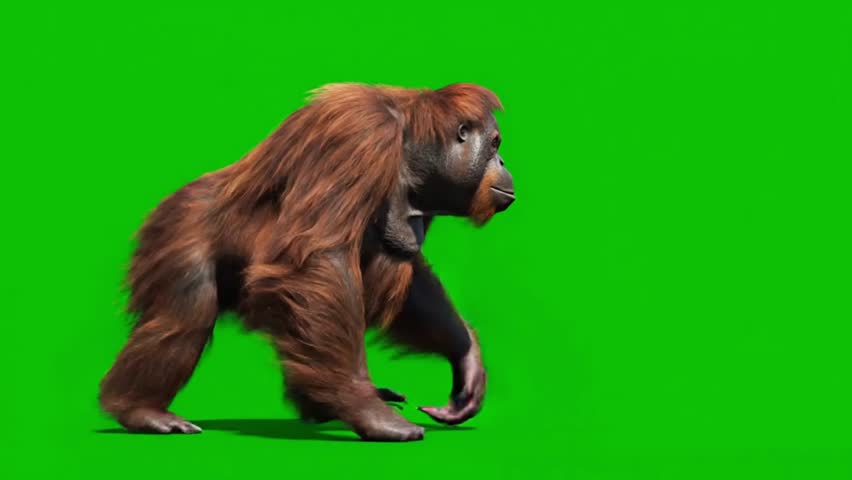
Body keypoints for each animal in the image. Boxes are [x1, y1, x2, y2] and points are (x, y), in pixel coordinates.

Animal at [98, 83, 515, 442]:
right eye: (494, 142)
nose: (502, 159)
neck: (410, 148)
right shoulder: (361, 135)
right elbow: (320, 255)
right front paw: (367, 411)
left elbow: (410, 277)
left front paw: (466, 358)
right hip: (178, 229)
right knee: (186, 314)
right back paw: (139, 410)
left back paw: (318, 403)